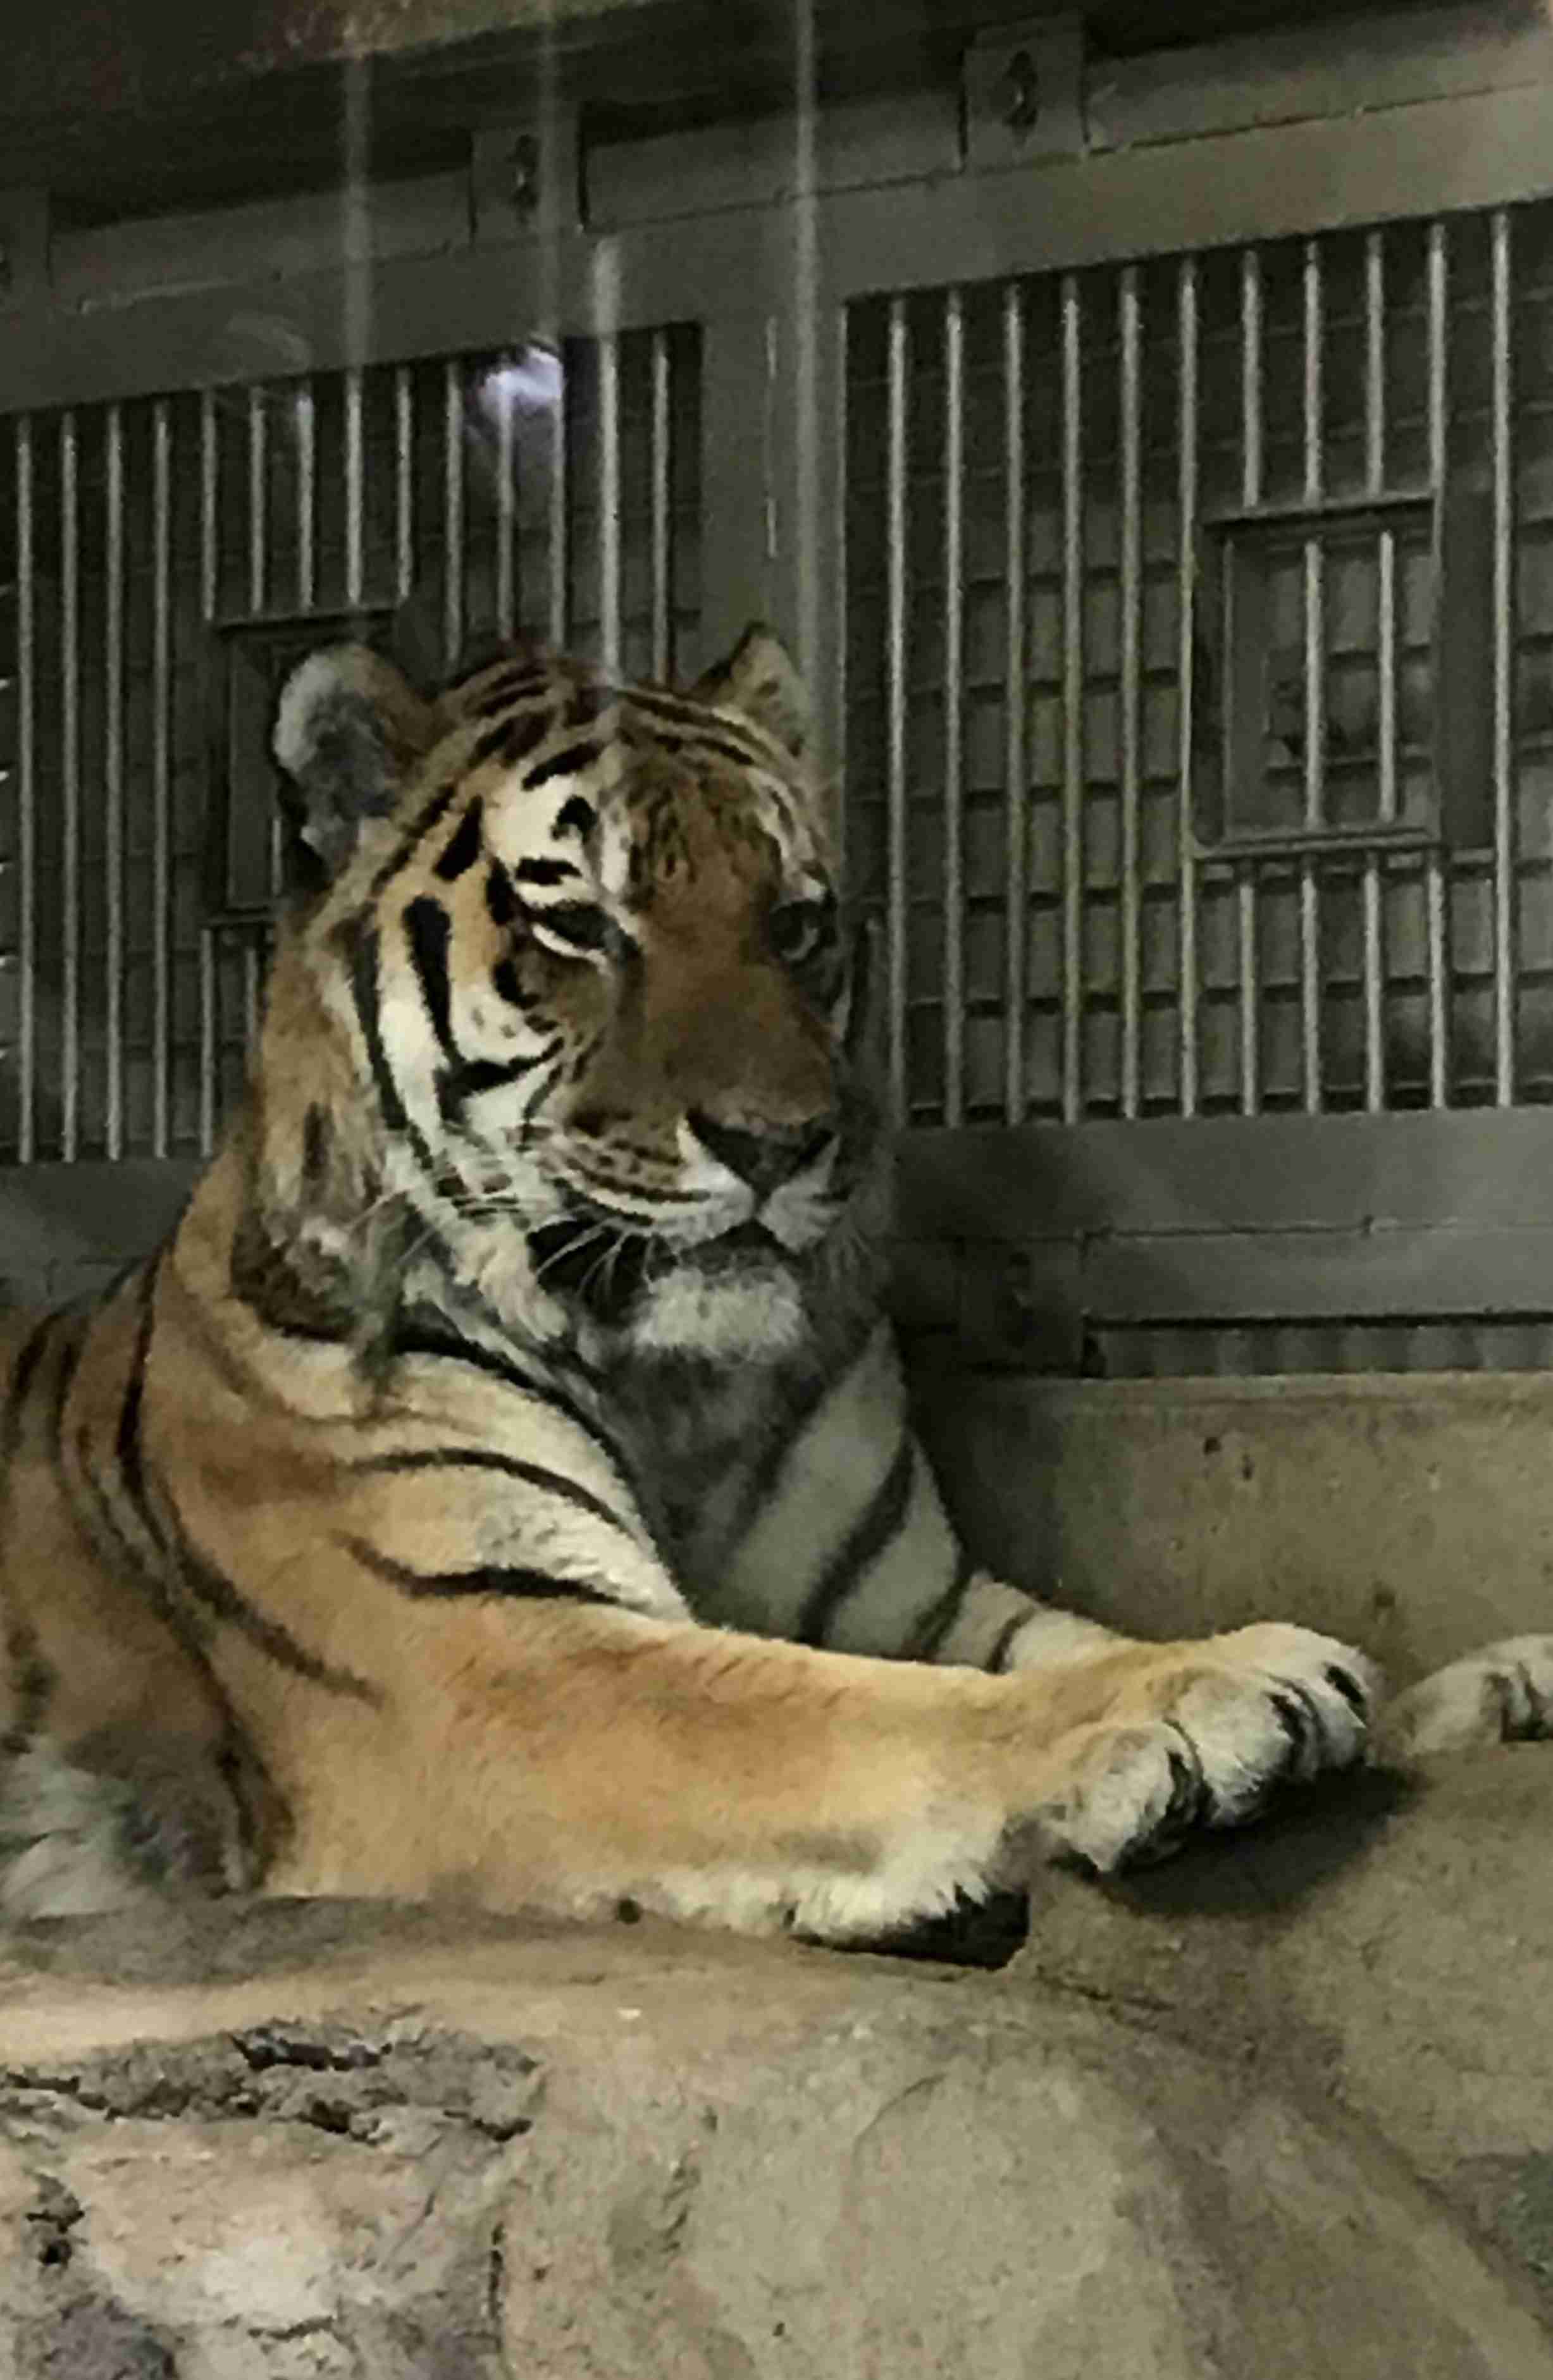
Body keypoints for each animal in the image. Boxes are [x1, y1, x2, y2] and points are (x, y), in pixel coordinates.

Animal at [0, 622, 1543, 1942]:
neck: (675, 1395)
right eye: (581, 926)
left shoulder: (917, 1600)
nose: (781, 1140)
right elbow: (856, 1712)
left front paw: (1480, 1688)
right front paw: (1218, 1682)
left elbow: (1044, 1643)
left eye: (797, 923)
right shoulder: (487, 1650)